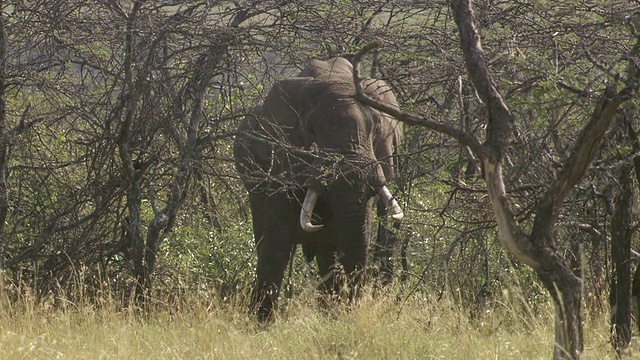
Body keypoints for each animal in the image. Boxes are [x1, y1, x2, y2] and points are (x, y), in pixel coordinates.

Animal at [235, 56, 402, 320]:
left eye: (376, 130)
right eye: (311, 131)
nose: (353, 312)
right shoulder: (281, 160)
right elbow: (276, 242)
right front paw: (260, 324)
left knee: (327, 256)